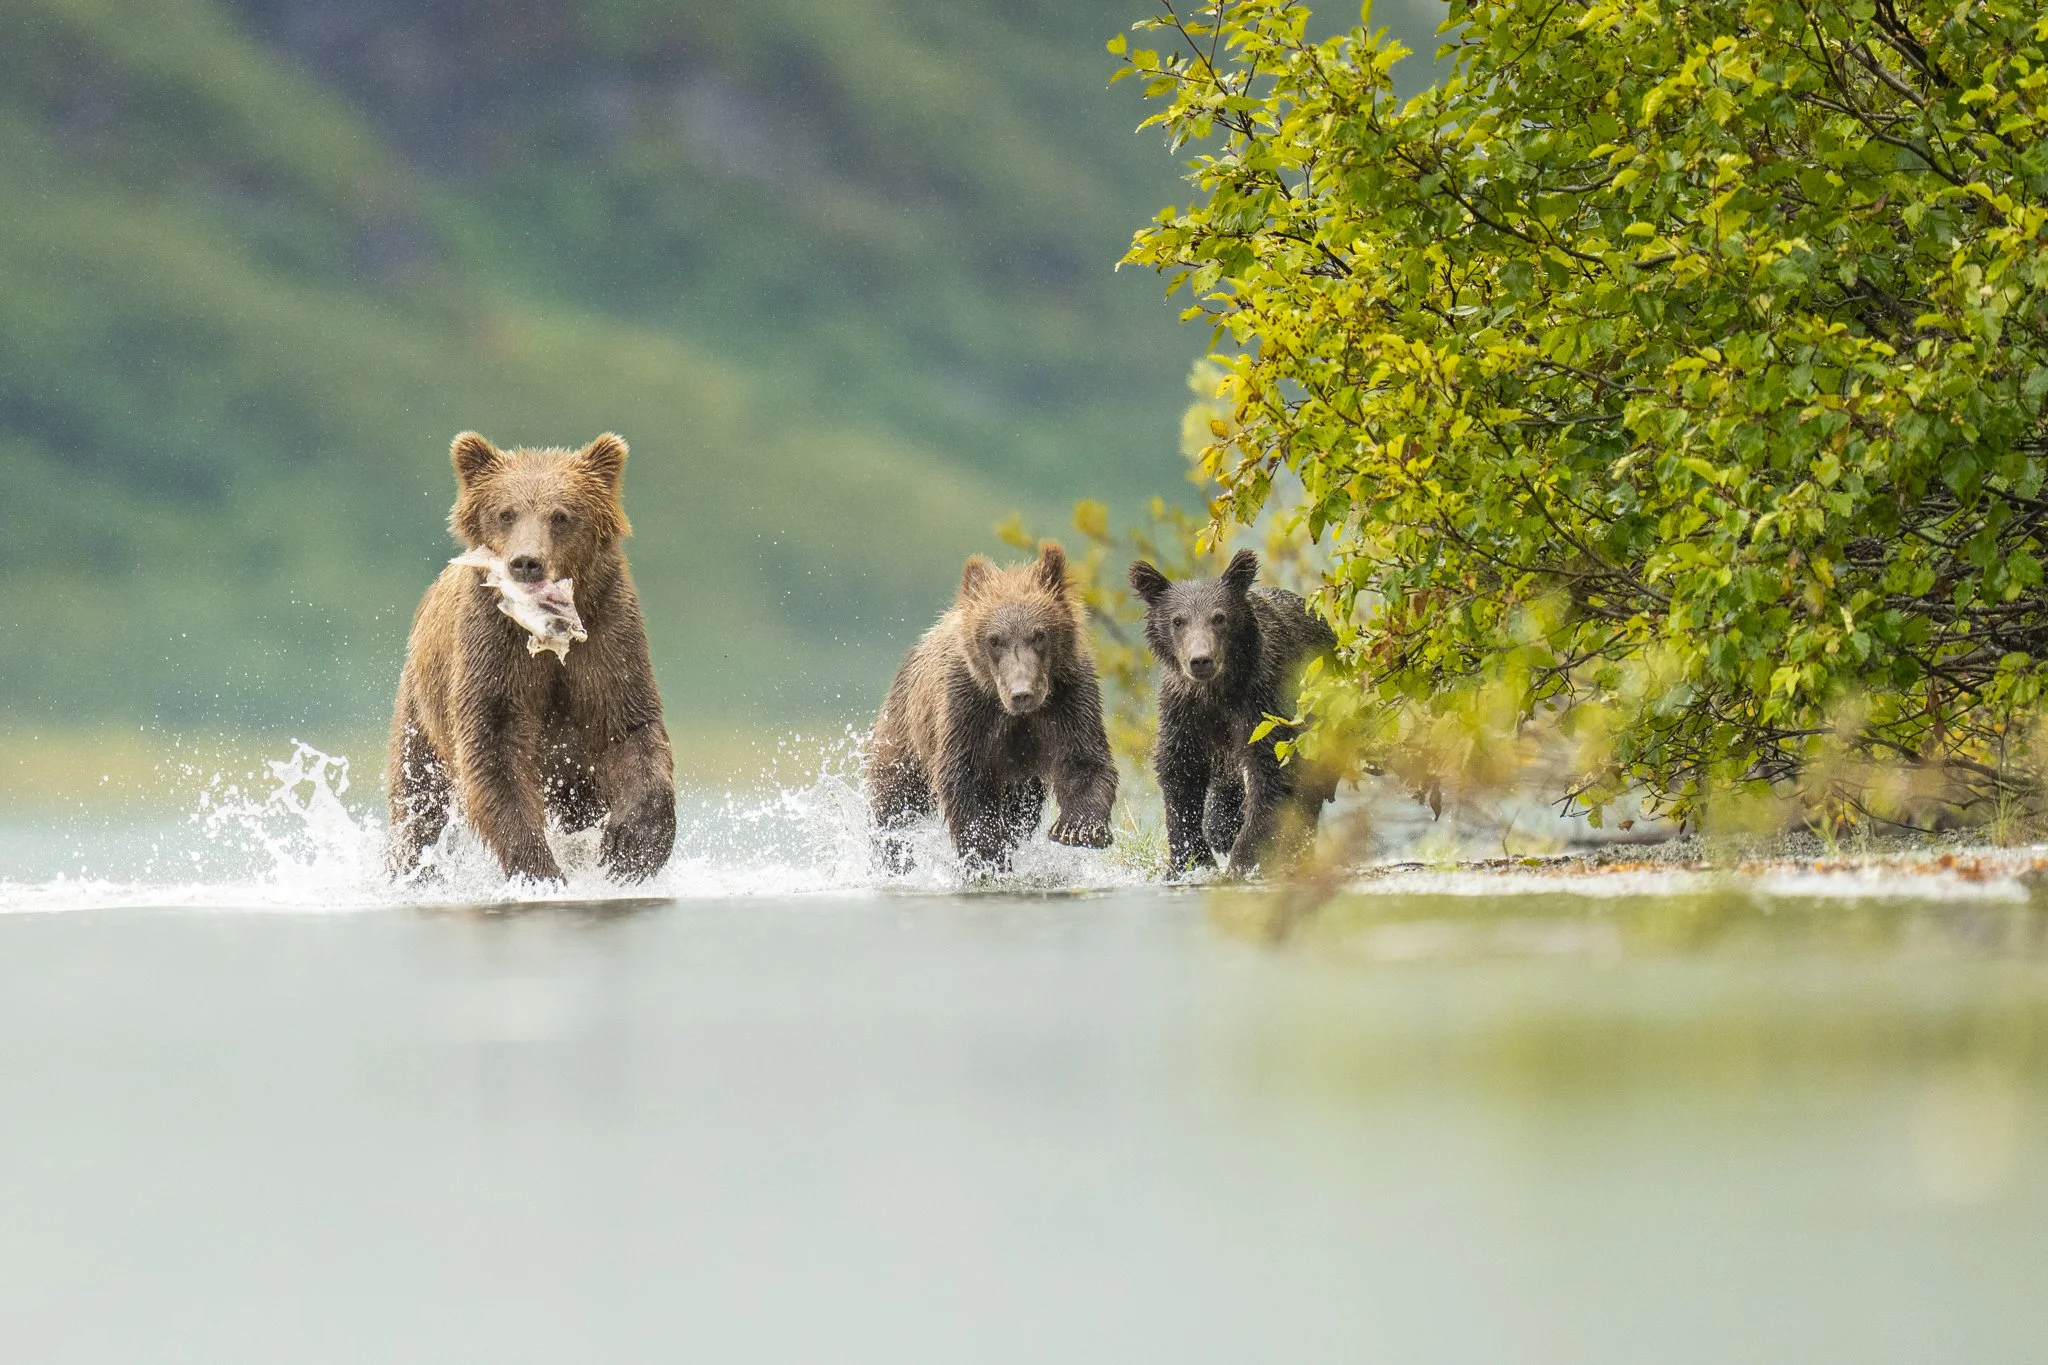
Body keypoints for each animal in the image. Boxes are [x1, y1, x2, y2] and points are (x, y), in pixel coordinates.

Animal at [385, 431, 676, 884]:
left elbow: (629, 727)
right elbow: (494, 750)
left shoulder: (608, 639)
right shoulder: (493, 652)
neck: (547, 633)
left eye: (562, 516)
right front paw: (541, 870)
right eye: (505, 513)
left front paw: (632, 848)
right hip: (421, 710)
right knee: (418, 803)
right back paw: (412, 869)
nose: (526, 562)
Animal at [867, 541, 1118, 874]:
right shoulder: (966, 707)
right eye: (994, 640)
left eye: (1039, 634)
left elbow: (1084, 759)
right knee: (893, 798)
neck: (1016, 715)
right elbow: (963, 778)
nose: (1022, 693)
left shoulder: (1068, 697)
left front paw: (1077, 828)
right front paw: (986, 855)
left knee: (1020, 812)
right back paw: (892, 854)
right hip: (905, 731)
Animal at [1128, 549, 1337, 877]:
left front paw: (1243, 861)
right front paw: (1191, 859)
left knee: (1309, 791)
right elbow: (1179, 771)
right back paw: (1222, 828)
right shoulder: (1184, 711)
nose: (1201, 660)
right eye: (1178, 621)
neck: (1218, 692)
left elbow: (1272, 773)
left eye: (1219, 617)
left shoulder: (1262, 702)